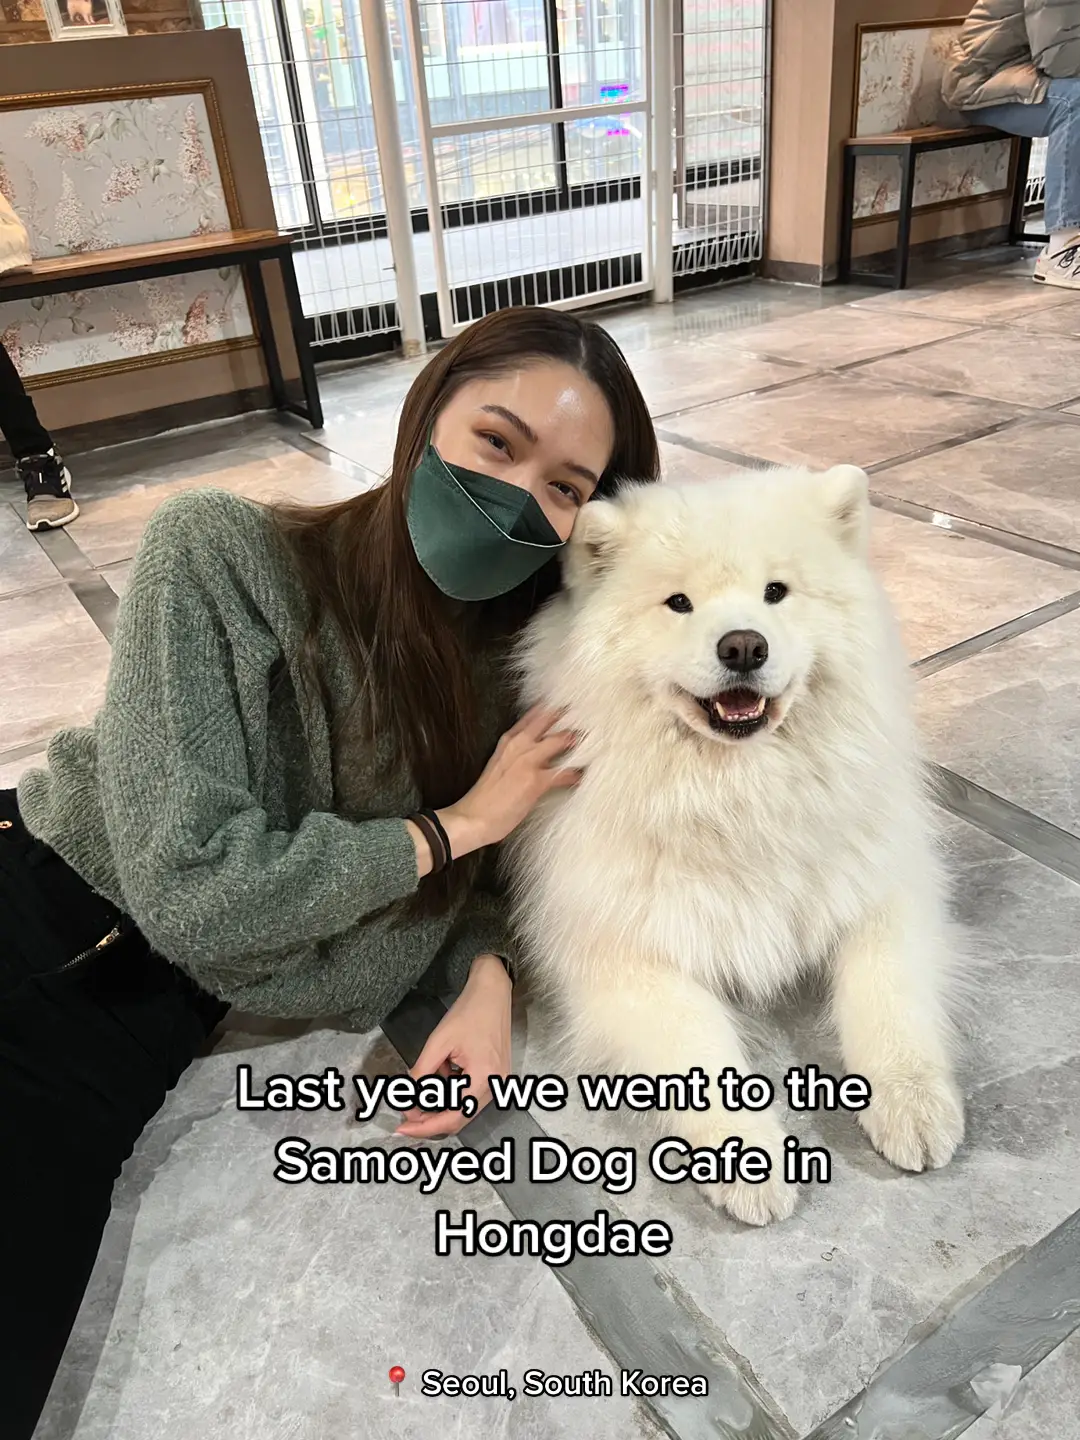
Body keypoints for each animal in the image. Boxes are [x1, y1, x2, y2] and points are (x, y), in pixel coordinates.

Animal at [506, 469, 961, 1226]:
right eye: (679, 603)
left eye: (777, 591)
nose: (743, 645)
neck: (742, 796)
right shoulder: (623, 955)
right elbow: (700, 1051)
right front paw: (750, 1158)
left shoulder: (883, 889)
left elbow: (886, 993)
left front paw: (913, 1104)